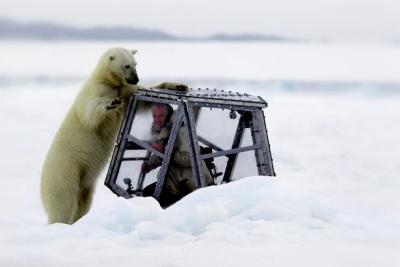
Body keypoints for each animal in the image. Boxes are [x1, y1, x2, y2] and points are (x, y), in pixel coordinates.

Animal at [39, 47, 187, 225]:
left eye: (135, 64)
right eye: (126, 66)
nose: (135, 79)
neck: (108, 81)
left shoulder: (126, 91)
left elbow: (144, 99)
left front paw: (178, 85)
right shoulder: (95, 90)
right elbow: (91, 113)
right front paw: (111, 103)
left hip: (84, 184)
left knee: (83, 202)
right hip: (65, 173)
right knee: (64, 204)